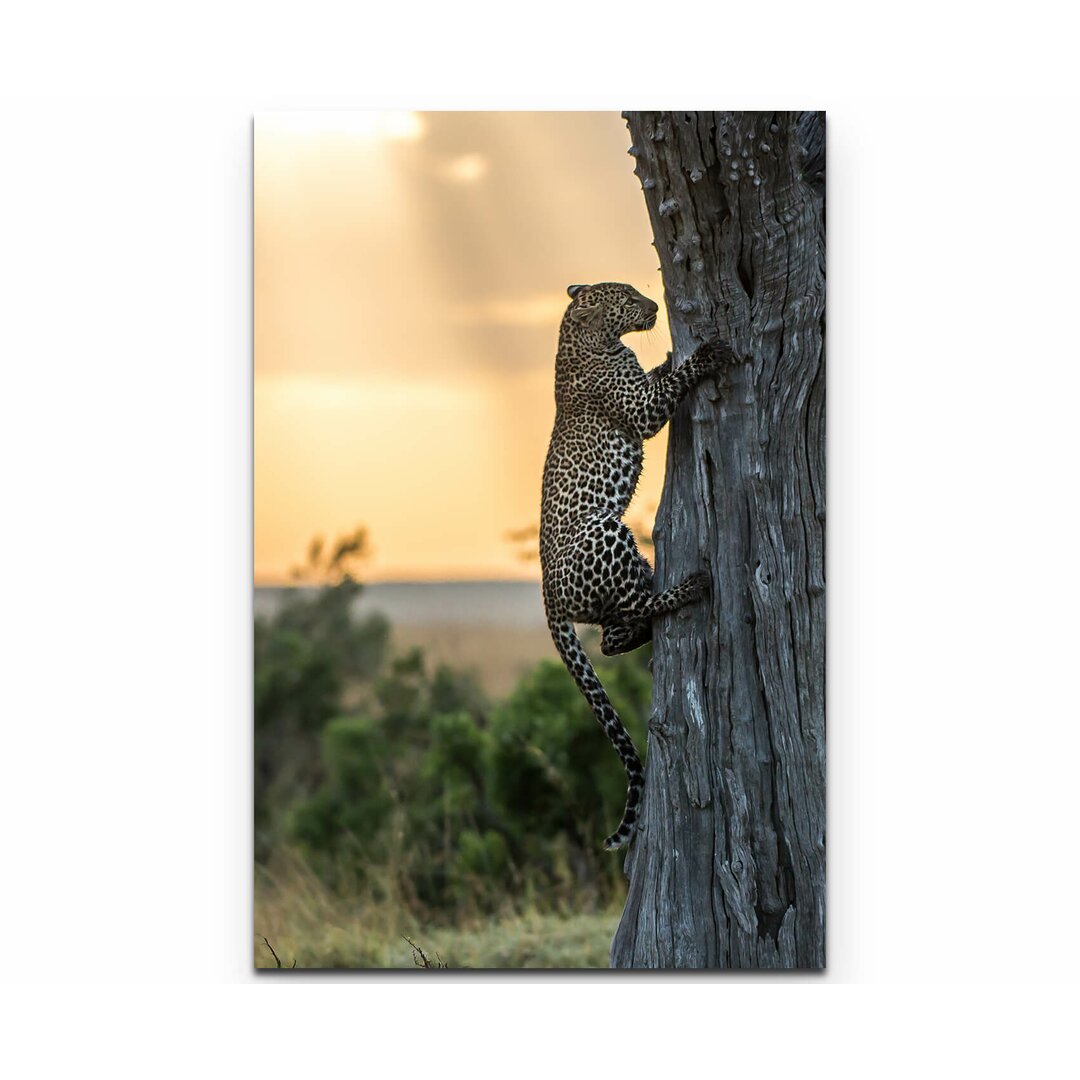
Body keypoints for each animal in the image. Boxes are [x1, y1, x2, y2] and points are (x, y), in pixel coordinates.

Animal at [540, 280, 743, 851]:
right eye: (628, 297)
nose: (654, 307)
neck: (587, 338)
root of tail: (546, 597)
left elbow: (659, 374)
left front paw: (670, 356)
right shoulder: (643, 409)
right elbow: (671, 384)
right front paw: (703, 354)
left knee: (615, 630)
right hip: (605, 530)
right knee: (623, 622)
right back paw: (690, 587)